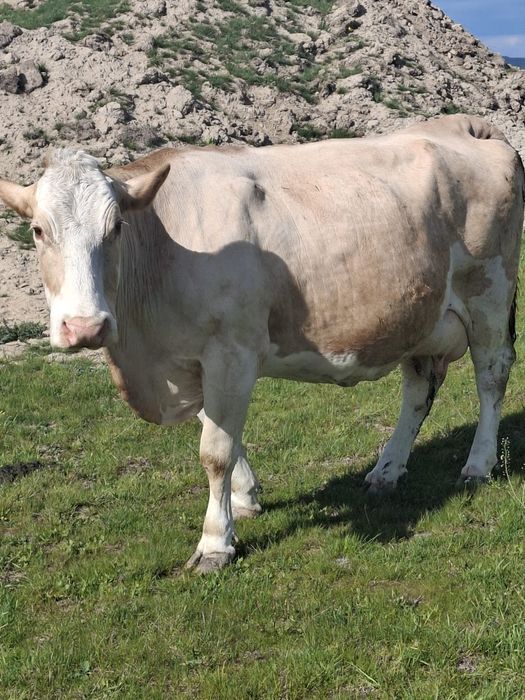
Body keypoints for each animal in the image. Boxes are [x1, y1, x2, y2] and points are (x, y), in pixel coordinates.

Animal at [0, 114, 523, 573]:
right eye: (38, 230)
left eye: (114, 229)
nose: (84, 327)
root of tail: (465, 125)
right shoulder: (197, 359)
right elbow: (217, 427)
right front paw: (245, 496)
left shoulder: (231, 351)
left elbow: (215, 449)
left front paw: (216, 543)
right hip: (418, 315)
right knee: (417, 391)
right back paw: (387, 470)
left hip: (490, 295)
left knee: (491, 377)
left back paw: (477, 464)